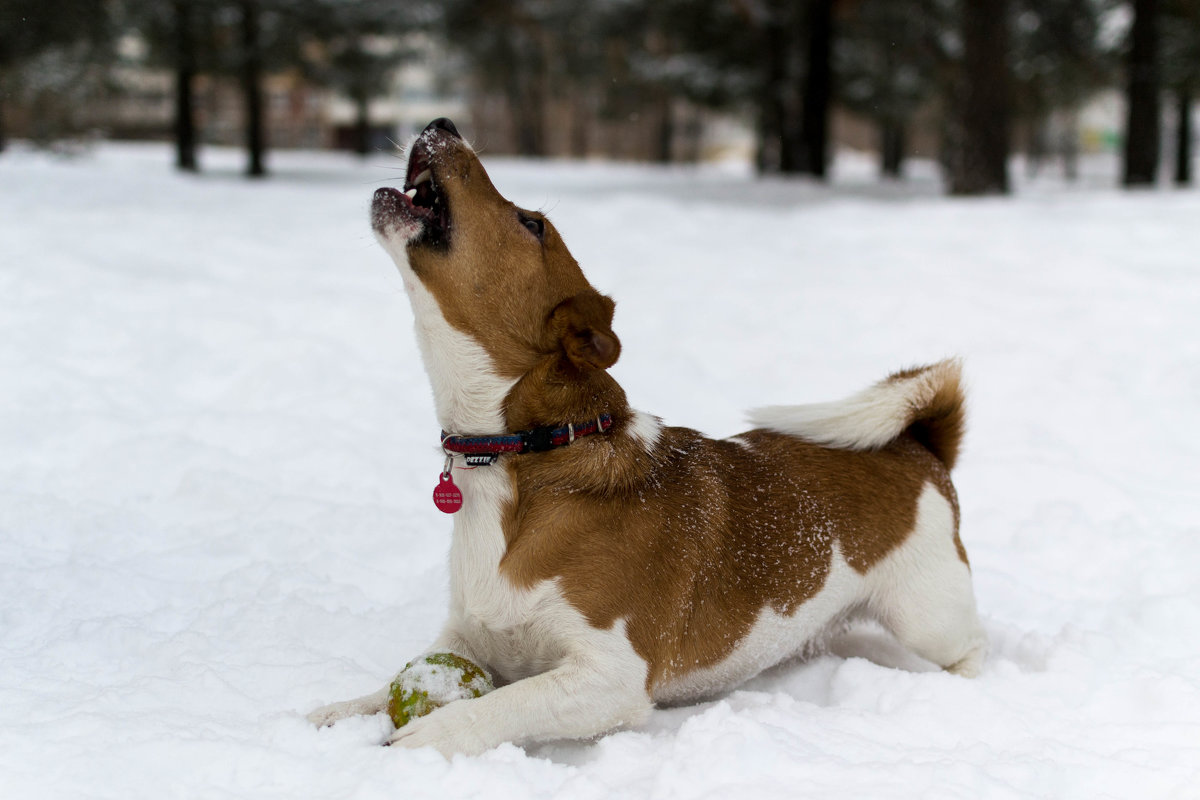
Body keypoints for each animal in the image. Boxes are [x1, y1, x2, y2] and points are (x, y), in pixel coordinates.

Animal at [307, 117, 984, 758]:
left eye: (532, 223)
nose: (444, 123)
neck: (531, 456)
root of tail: (918, 445)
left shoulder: (607, 678)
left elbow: (503, 704)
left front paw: (431, 734)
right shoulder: (470, 636)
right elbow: (385, 686)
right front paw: (343, 711)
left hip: (927, 615)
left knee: (970, 647)